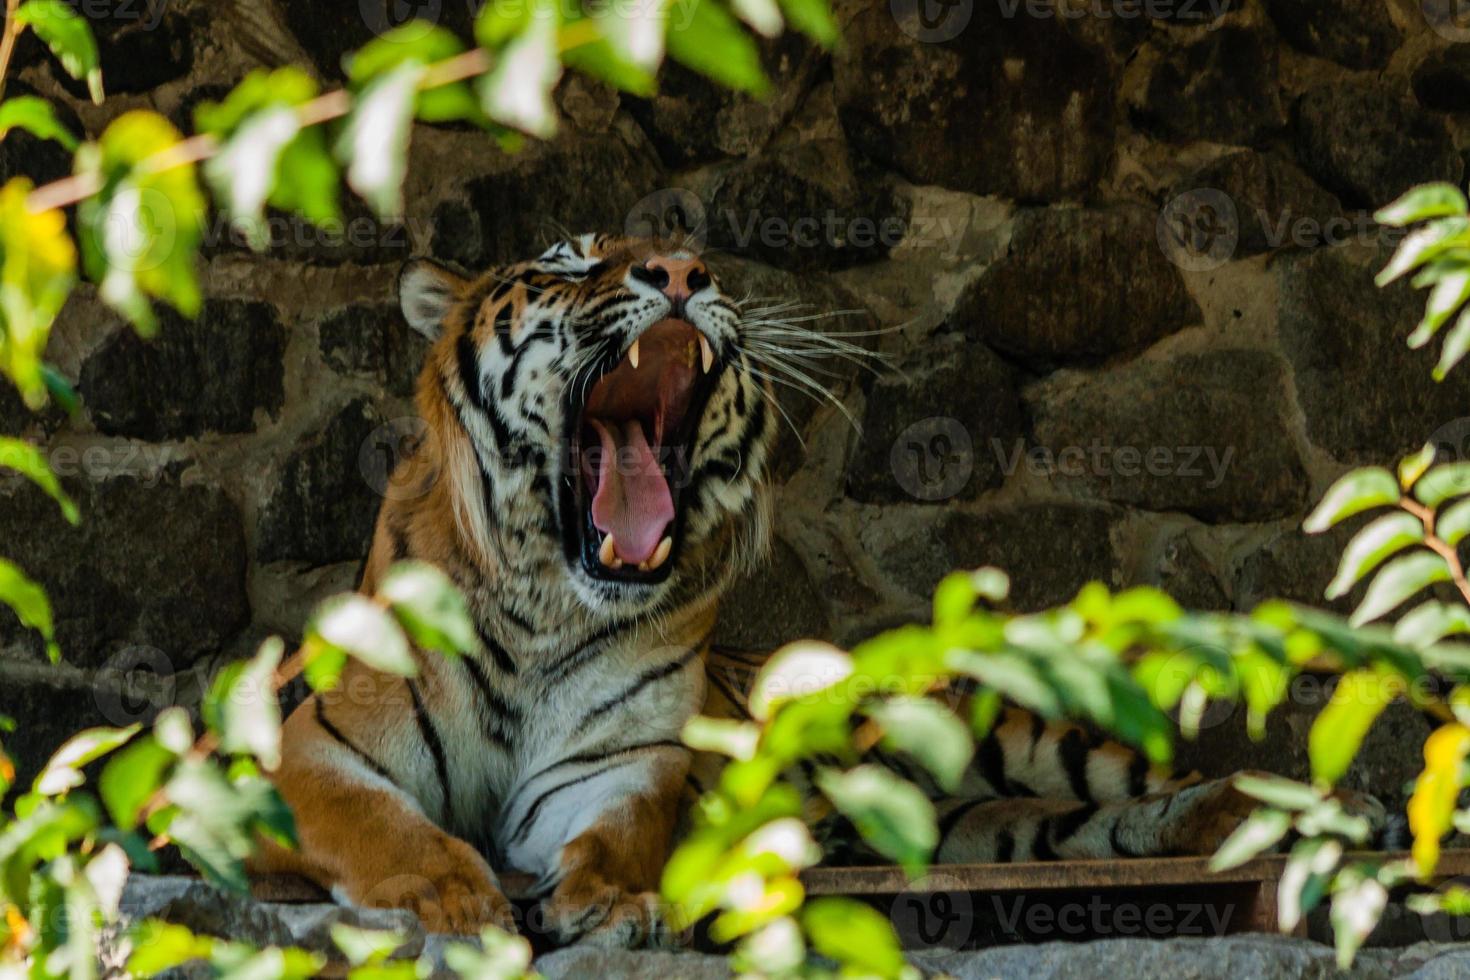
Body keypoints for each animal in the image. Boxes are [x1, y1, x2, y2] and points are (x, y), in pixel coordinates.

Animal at [249, 235, 1375, 952]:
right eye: (566, 262)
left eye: (683, 256)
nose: (682, 269)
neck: (549, 601)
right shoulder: (315, 749)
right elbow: (386, 824)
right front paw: (456, 895)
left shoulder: (617, 766)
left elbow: (618, 833)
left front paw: (608, 901)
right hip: (982, 820)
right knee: (1092, 825)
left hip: (1005, 728)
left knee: (1157, 780)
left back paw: (1321, 810)